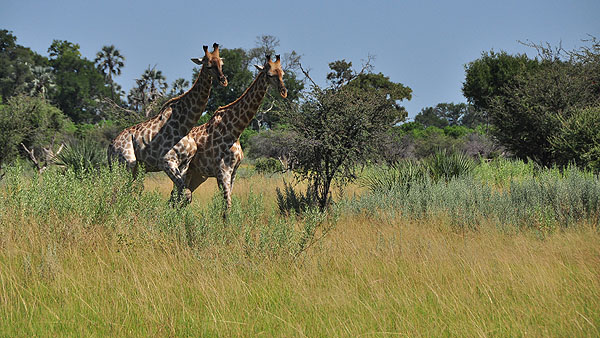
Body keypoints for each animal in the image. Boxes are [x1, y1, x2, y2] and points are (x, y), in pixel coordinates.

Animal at [108, 43, 227, 202]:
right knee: (116, 190)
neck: (185, 125)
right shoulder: (166, 162)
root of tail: (110, 147)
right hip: (126, 163)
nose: (223, 80)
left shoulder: (184, 164)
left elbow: (182, 194)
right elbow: (185, 193)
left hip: (134, 168)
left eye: (221, 64)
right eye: (208, 66)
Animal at [177, 54, 288, 210]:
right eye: (270, 74)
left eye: (282, 73)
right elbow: (227, 204)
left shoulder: (233, 171)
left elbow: (227, 201)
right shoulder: (222, 171)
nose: (283, 91)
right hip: (184, 169)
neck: (236, 129)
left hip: (197, 175)